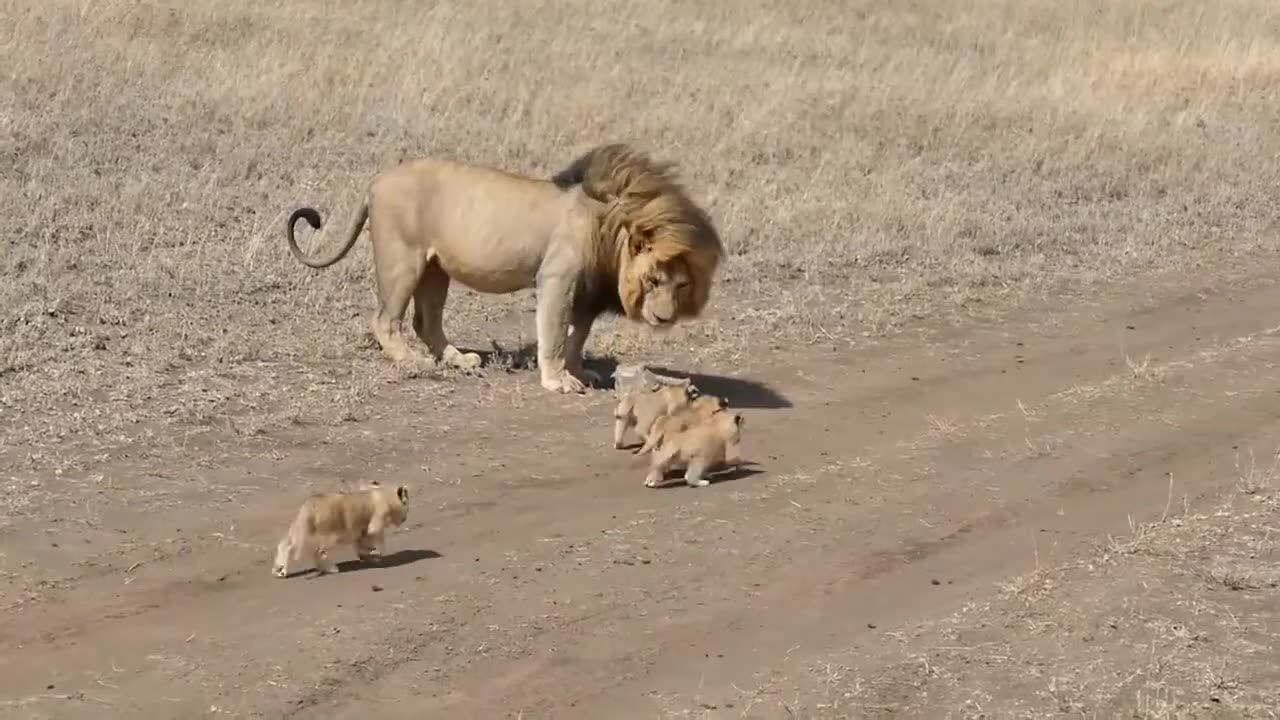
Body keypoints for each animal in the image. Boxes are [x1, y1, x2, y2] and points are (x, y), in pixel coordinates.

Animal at [290, 142, 727, 392]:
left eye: (681, 285)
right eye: (653, 280)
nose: (664, 317)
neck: (610, 226)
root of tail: (375, 182)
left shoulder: (585, 293)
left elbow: (576, 337)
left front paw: (579, 373)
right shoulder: (557, 279)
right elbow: (554, 335)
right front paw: (557, 381)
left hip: (436, 268)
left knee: (426, 321)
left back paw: (458, 359)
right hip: (404, 259)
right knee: (385, 320)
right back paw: (411, 361)